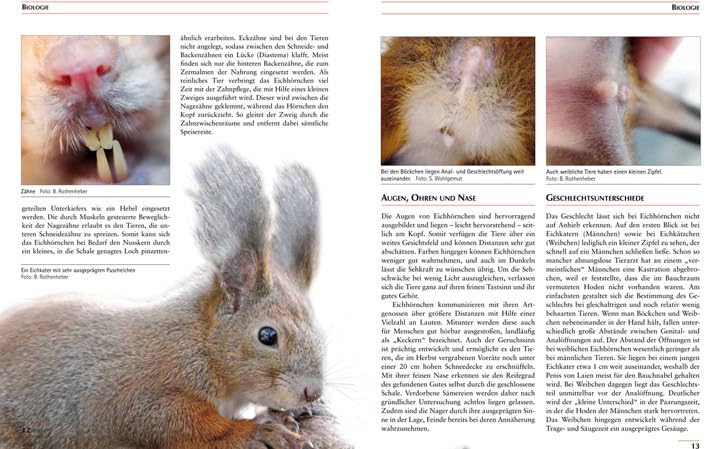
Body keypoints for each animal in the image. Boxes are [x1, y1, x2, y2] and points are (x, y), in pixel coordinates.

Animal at [0, 148, 345, 449]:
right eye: (267, 336)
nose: (312, 392)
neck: (200, 342)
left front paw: (278, 415)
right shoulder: (140, 390)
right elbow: (173, 422)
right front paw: (255, 432)